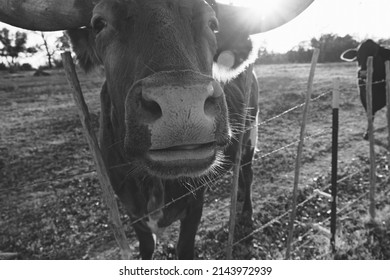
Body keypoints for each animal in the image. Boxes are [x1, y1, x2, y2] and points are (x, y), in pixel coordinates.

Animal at [0, 0, 314, 260]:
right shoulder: (130, 208)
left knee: (246, 175)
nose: (181, 105)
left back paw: (244, 216)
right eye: (99, 23)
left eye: (213, 24)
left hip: (250, 135)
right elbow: (146, 246)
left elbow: (184, 249)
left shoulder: (195, 203)